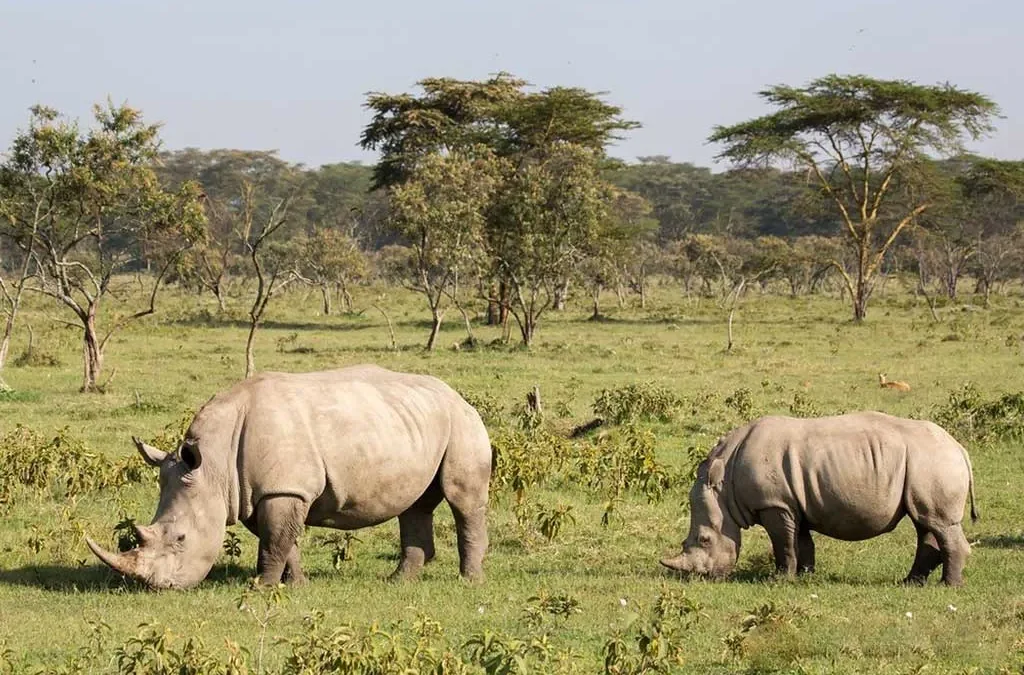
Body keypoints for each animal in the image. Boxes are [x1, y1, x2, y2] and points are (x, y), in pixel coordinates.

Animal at [86, 365, 492, 589]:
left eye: (181, 539)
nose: (162, 587)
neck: (213, 465)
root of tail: (457, 394)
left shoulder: (283, 490)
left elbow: (274, 542)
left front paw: (260, 587)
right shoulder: (255, 492)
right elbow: (282, 540)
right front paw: (295, 584)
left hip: (463, 423)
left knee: (463, 501)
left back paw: (468, 581)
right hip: (414, 422)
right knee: (415, 505)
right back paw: (397, 581)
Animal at [660, 412, 978, 586]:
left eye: (704, 540)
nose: (703, 578)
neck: (725, 486)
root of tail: (960, 448)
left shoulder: (774, 504)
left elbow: (783, 544)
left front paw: (780, 579)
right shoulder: (792, 504)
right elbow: (801, 542)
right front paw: (806, 576)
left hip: (933, 461)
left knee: (937, 523)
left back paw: (948, 586)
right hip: (926, 465)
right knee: (925, 521)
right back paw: (910, 583)